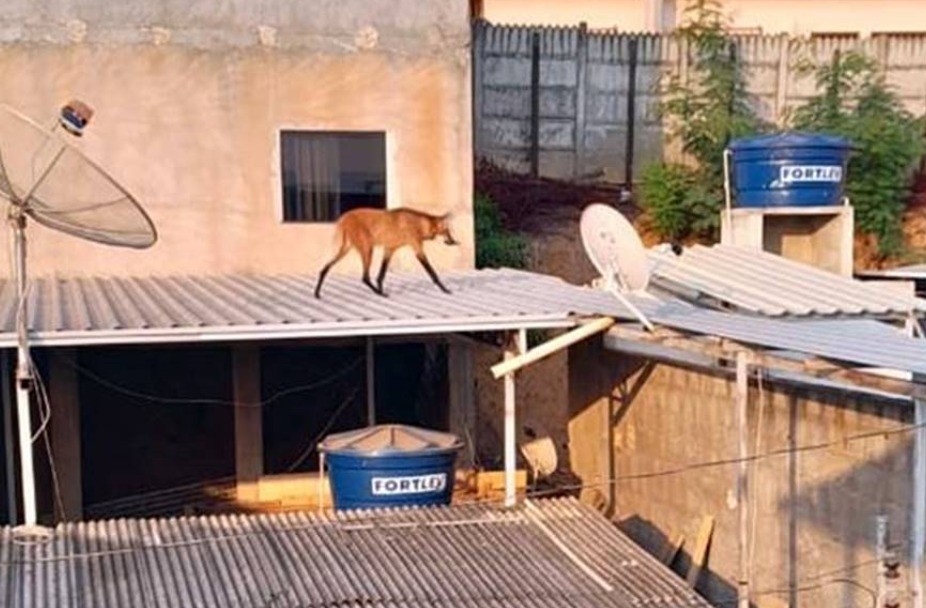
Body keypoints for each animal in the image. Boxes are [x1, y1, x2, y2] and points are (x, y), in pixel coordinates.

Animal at [316, 208, 460, 298]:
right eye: (448, 231)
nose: (454, 241)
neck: (419, 224)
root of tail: (344, 217)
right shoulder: (417, 248)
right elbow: (432, 272)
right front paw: (445, 289)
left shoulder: (389, 249)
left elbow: (381, 275)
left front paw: (380, 288)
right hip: (367, 248)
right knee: (364, 277)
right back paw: (379, 294)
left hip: (345, 249)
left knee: (324, 268)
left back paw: (317, 293)